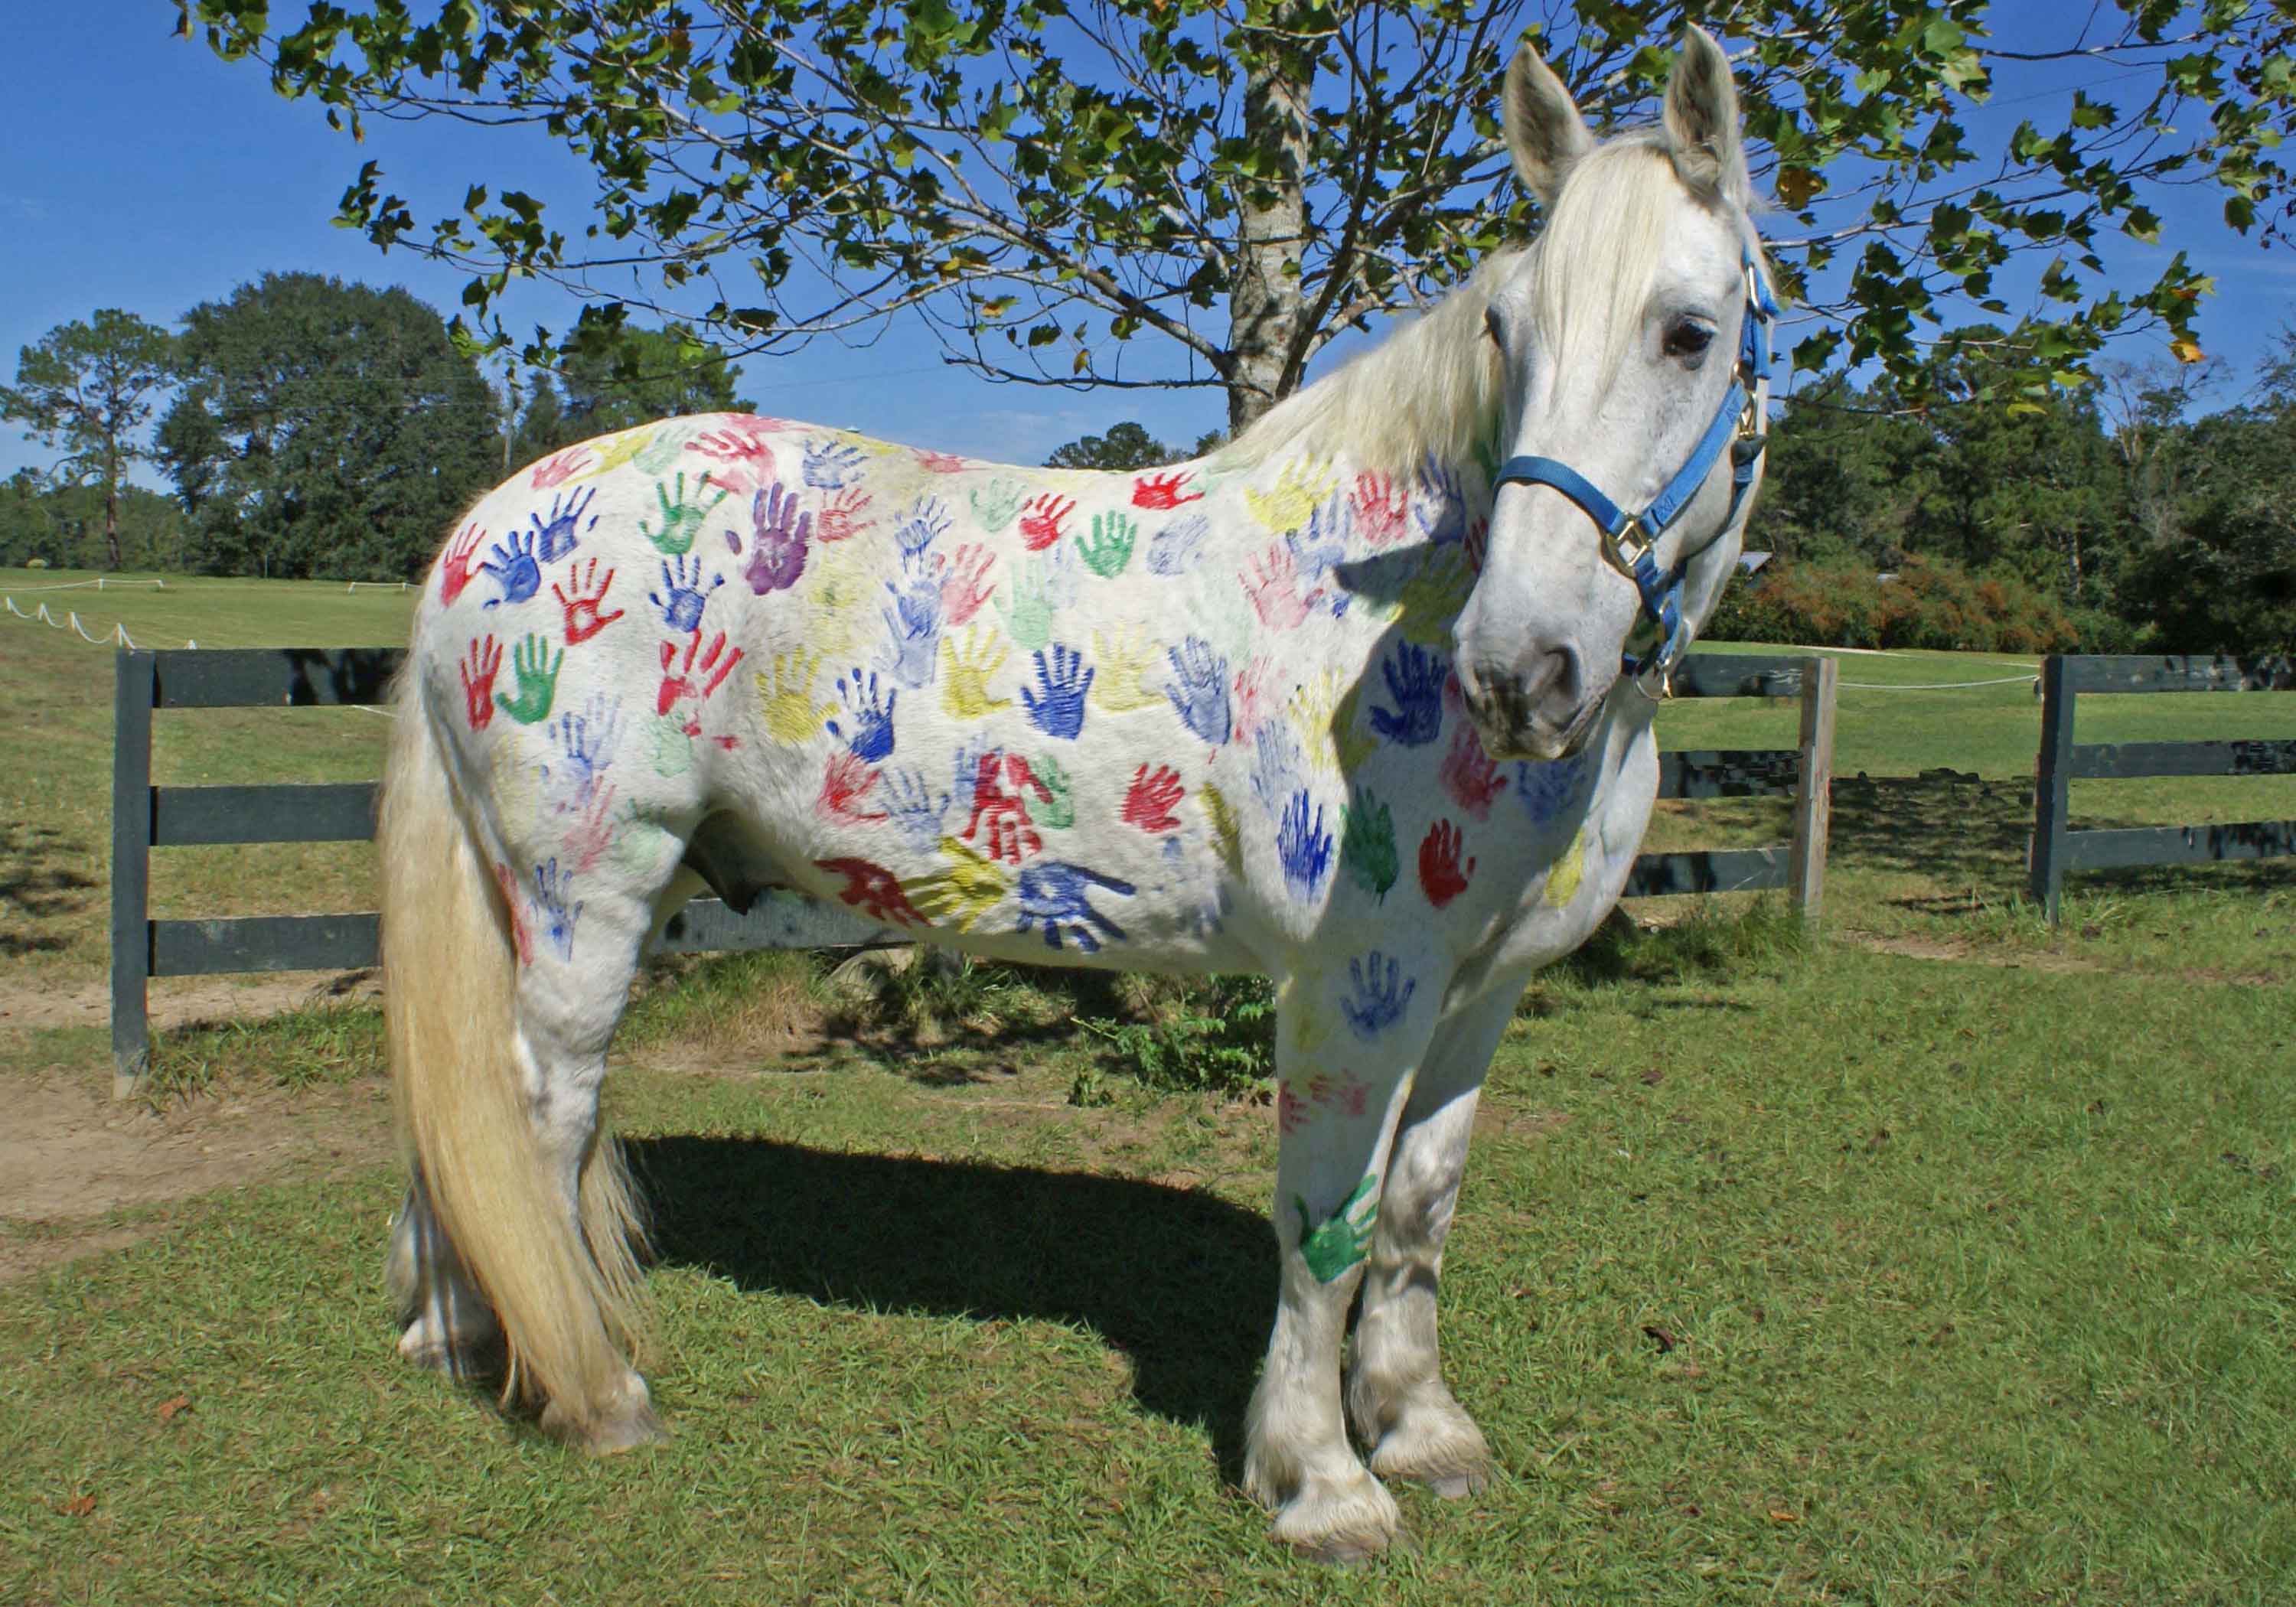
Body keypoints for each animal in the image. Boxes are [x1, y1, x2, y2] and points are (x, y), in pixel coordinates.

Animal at [378, 27, 1775, 1562]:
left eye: (1687, 332)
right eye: (1506, 336)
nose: (1517, 667)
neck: (1390, 604)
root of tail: (487, 529)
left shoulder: (1482, 991)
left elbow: (1419, 1211)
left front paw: (1420, 1432)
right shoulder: (1359, 988)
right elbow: (1329, 1224)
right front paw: (1322, 1481)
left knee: (469, 1115)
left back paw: (459, 1334)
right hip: (588, 898)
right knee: (537, 1111)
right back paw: (593, 1388)